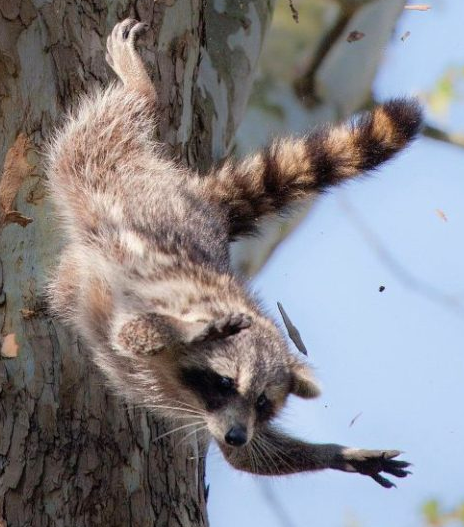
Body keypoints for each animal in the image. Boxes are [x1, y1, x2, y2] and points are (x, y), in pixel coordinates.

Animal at [46, 18, 420, 488]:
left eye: (263, 402)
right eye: (225, 383)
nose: (239, 433)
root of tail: (196, 200)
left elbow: (251, 457)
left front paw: (339, 454)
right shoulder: (153, 303)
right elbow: (130, 333)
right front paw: (187, 331)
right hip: (108, 173)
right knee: (95, 136)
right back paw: (140, 90)